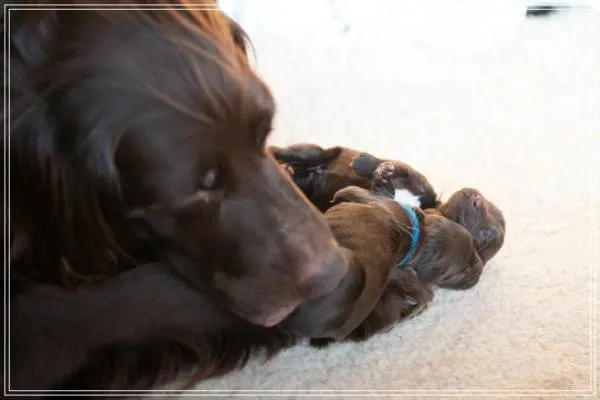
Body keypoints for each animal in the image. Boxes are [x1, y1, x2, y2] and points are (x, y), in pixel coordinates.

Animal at [269, 143, 438, 212]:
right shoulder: (412, 175)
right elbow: (396, 167)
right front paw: (369, 165)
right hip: (311, 153)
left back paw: (287, 171)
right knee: (276, 150)